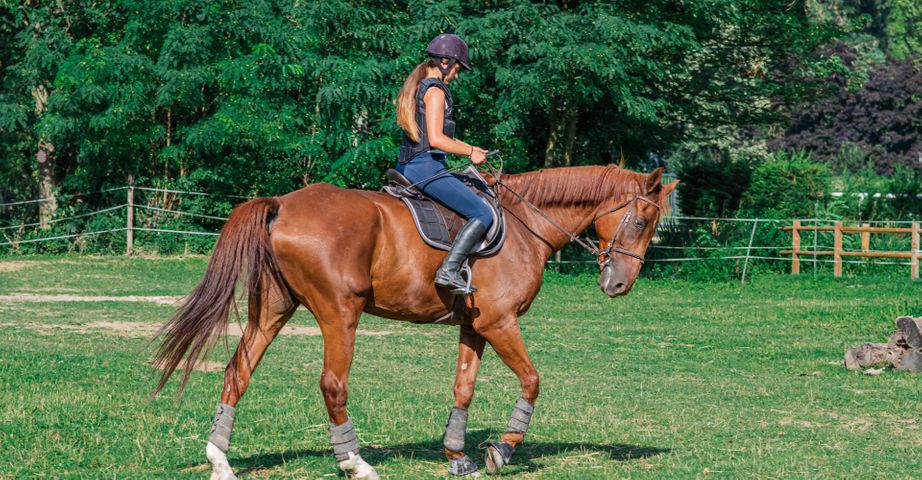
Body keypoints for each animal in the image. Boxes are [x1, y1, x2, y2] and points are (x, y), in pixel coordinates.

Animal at [153, 163, 676, 478]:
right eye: (641, 221)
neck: (525, 226)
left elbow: (463, 388)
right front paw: (502, 450)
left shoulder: (474, 328)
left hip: (274, 310)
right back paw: (356, 463)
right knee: (332, 385)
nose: (619, 285)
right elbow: (532, 380)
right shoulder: (500, 324)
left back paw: (220, 460)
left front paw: (457, 455)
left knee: (237, 370)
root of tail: (282, 205)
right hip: (340, 314)